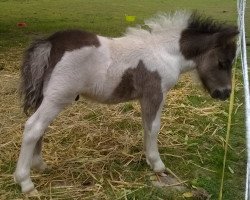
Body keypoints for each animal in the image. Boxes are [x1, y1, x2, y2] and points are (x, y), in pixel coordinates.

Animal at [14, 11, 238, 193]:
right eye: (223, 62)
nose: (225, 93)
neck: (164, 51)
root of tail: (51, 42)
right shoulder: (156, 94)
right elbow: (154, 127)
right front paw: (158, 165)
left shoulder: (144, 98)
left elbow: (146, 126)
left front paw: (149, 160)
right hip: (58, 97)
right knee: (33, 127)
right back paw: (25, 182)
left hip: (47, 97)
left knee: (41, 128)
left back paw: (40, 165)